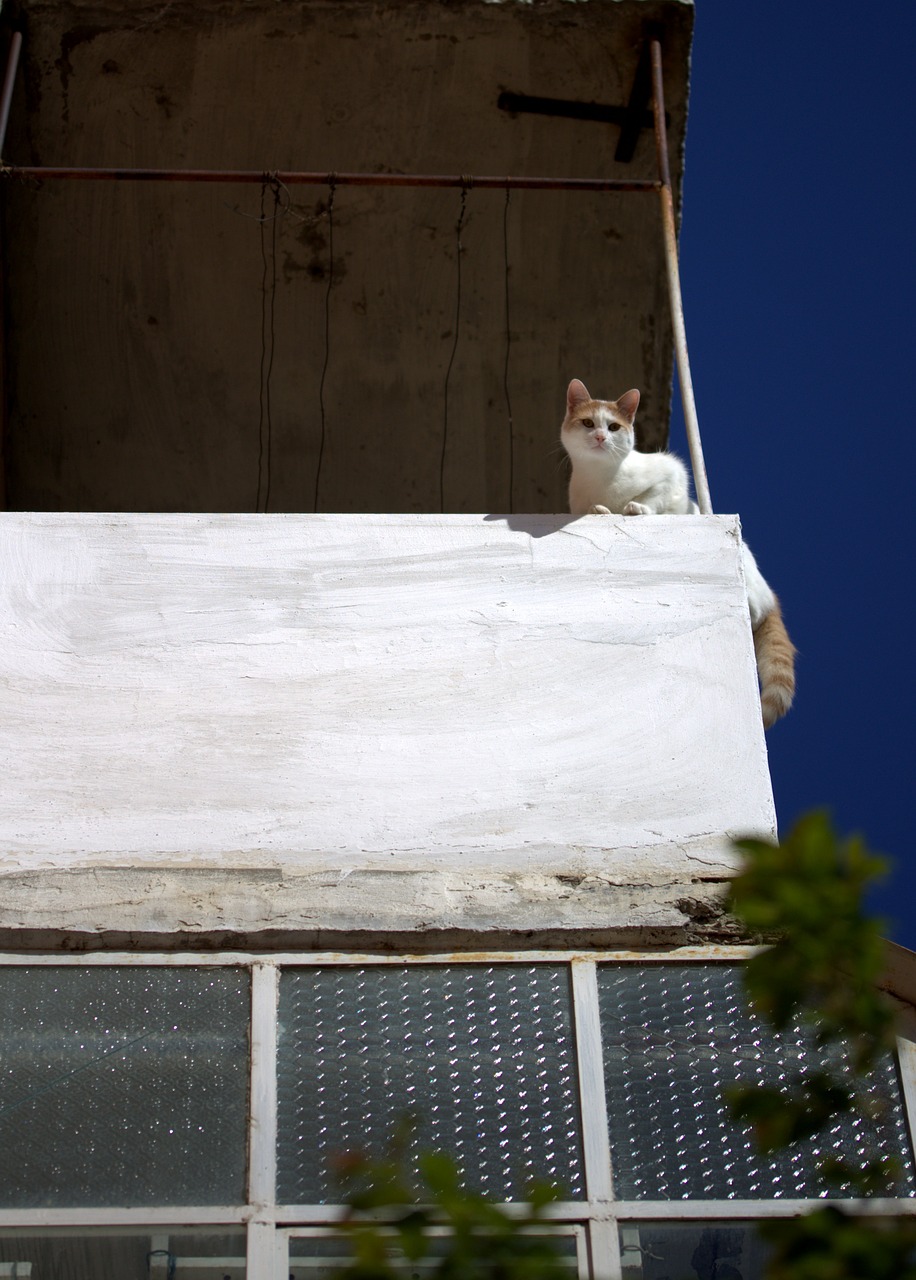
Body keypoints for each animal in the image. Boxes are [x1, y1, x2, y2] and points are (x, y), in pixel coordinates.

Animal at [557, 373, 793, 727]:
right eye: (587, 423)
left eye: (612, 427)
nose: (599, 437)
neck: (601, 478)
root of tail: (771, 596)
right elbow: (598, 509)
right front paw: (602, 511)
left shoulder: (672, 473)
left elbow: (656, 497)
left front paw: (636, 508)